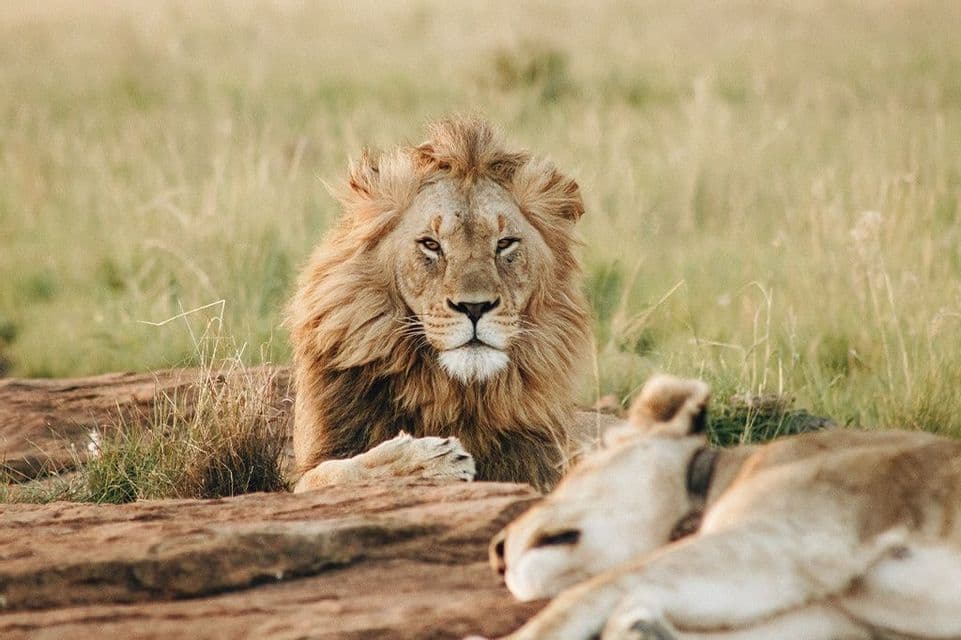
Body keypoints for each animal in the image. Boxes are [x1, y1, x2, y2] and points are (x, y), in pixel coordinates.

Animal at [287, 117, 608, 493]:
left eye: (505, 243)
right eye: (431, 244)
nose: (474, 307)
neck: (452, 393)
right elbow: (337, 472)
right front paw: (428, 461)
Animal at [484, 375, 961, 639]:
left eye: (571, 474)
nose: (496, 551)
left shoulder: (793, 536)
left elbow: (586, 593)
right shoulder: (836, 619)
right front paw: (643, 629)